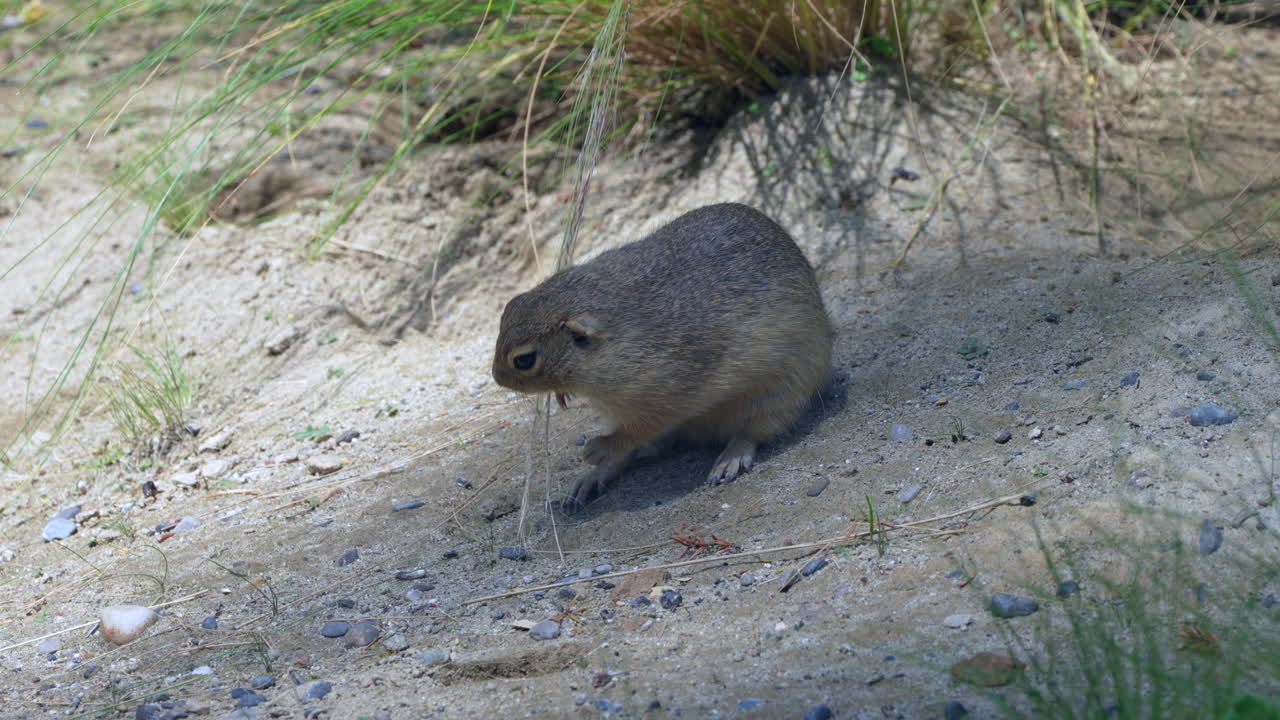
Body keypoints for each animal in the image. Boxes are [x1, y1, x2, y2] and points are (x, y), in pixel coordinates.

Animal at [492, 203, 833, 508]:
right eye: (508, 307)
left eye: (524, 360)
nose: (496, 376)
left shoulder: (666, 397)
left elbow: (636, 432)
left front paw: (598, 448)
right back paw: (589, 481)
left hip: (776, 398)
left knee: (748, 434)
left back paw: (729, 460)